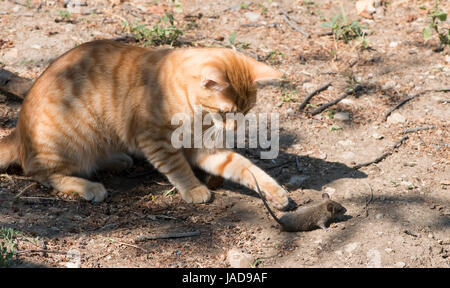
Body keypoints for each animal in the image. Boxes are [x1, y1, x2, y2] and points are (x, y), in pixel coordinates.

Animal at [0, 40, 288, 209]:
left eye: (246, 111)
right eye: (226, 112)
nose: (235, 129)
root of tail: (17, 133)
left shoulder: (205, 148)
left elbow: (246, 168)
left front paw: (274, 191)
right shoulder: (155, 141)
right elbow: (178, 167)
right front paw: (194, 188)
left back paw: (117, 160)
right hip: (70, 143)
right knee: (40, 173)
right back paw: (89, 187)